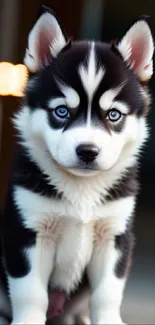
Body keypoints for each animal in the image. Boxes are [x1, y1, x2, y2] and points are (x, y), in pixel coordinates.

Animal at [0, 5, 154, 324]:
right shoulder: (27, 232)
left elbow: (107, 293)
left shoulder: (114, 236)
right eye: (61, 111)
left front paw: (109, 320)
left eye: (113, 115)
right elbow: (31, 293)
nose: (87, 151)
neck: (81, 188)